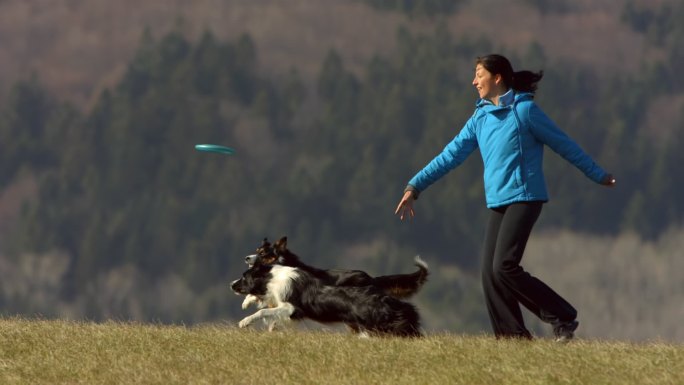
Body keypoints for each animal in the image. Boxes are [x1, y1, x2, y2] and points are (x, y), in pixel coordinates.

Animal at [231, 260, 422, 338]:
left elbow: (264, 311)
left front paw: (244, 322)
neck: (272, 277)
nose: (231, 285)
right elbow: (266, 306)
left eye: (244, 277)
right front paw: (247, 302)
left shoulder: (293, 309)